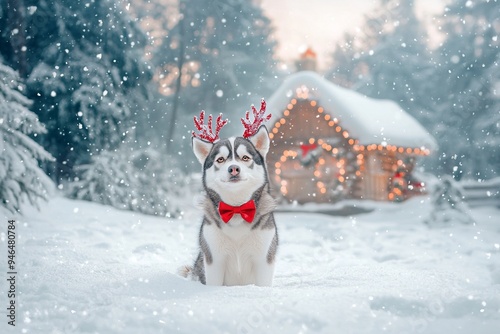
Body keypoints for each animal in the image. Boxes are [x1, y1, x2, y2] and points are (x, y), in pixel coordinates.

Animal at [180, 103, 280, 284]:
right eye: (220, 159)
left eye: (245, 157)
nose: (233, 168)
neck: (236, 208)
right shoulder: (214, 259)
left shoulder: (264, 258)